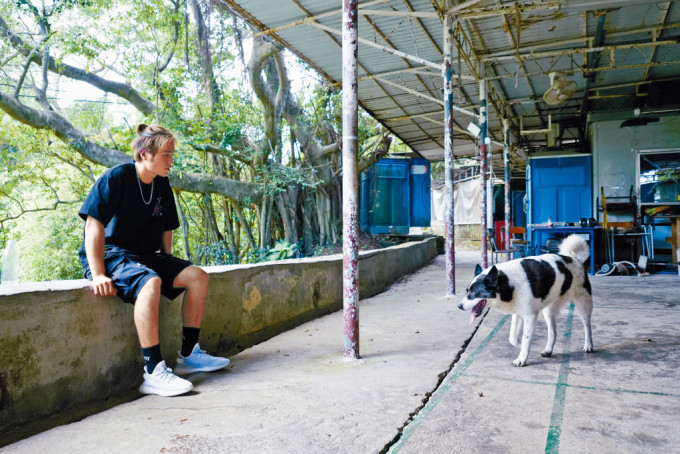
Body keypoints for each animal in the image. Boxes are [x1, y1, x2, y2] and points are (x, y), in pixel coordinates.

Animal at [456, 234, 596, 366]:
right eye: (467, 291)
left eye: (473, 292)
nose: (459, 306)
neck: (507, 282)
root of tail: (575, 259)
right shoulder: (518, 314)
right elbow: (513, 338)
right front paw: (520, 345)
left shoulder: (530, 316)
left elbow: (526, 338)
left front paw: (521, 358)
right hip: (549, 311)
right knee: (553, 331)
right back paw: (548, 350)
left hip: (583, 302)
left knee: (587, 325)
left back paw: (589, 345)